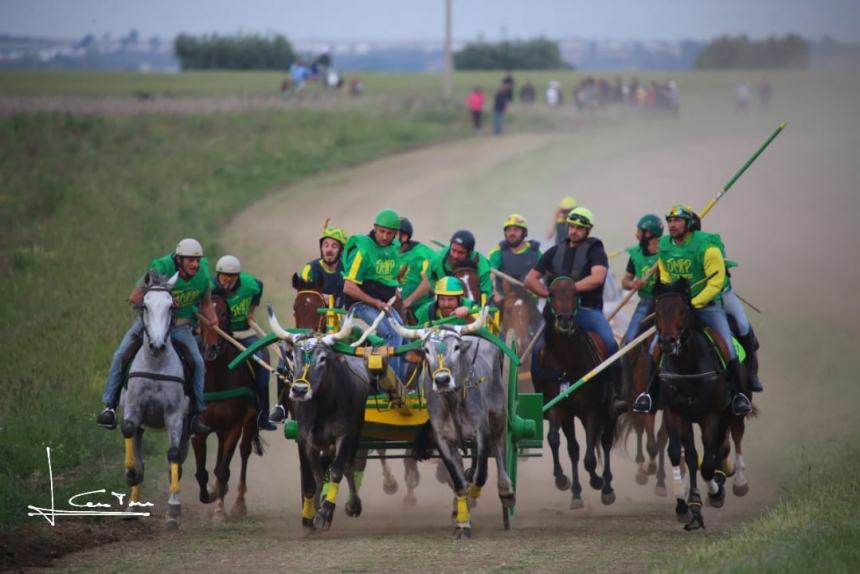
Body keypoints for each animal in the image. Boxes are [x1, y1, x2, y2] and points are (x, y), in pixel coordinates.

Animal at [121, 272, 191, 532]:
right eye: (145, 305)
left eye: (171, 306)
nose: (158, 345)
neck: (156, 366)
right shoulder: (133, 410)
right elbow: (128, 431)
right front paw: (131, 473)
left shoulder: (174, 416)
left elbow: (172, 455)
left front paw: (173, 510)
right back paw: (132, 507)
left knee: (178, 460)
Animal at [193, 294, 264, 524]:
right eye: (200, 313)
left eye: (224, 313)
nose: (211, 349)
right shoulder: (199, 428)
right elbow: (202, 472)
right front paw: (211, 493)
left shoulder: (234, 426)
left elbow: (223, 470)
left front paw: (219, 510)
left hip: (248, 422)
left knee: (244, 452)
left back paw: (239, 504)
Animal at [536, 278, 616, 508]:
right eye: (551, 294)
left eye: (575, 293)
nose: (564, 319)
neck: (566, 363)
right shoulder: (559, 408)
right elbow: (555, 440)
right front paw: (562, 479)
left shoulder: (592, 410)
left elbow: (590, 457)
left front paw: (597, 481)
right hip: (572, 417)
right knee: (574, 448)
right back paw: (577, 493)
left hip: (608, 413)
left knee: (605, 442)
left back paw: (607, 487)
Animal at [652, 282, 752, 532]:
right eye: (657, 311)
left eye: (682, 311)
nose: (667, 343)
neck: (688, 368)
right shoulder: (675, 413)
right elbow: (678, 454)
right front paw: (687, 506)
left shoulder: (711, 414)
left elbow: (707, 463)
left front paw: (715, 493)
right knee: (701, 451)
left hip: (733, 410)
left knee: (733, 438)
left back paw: (737, 481)